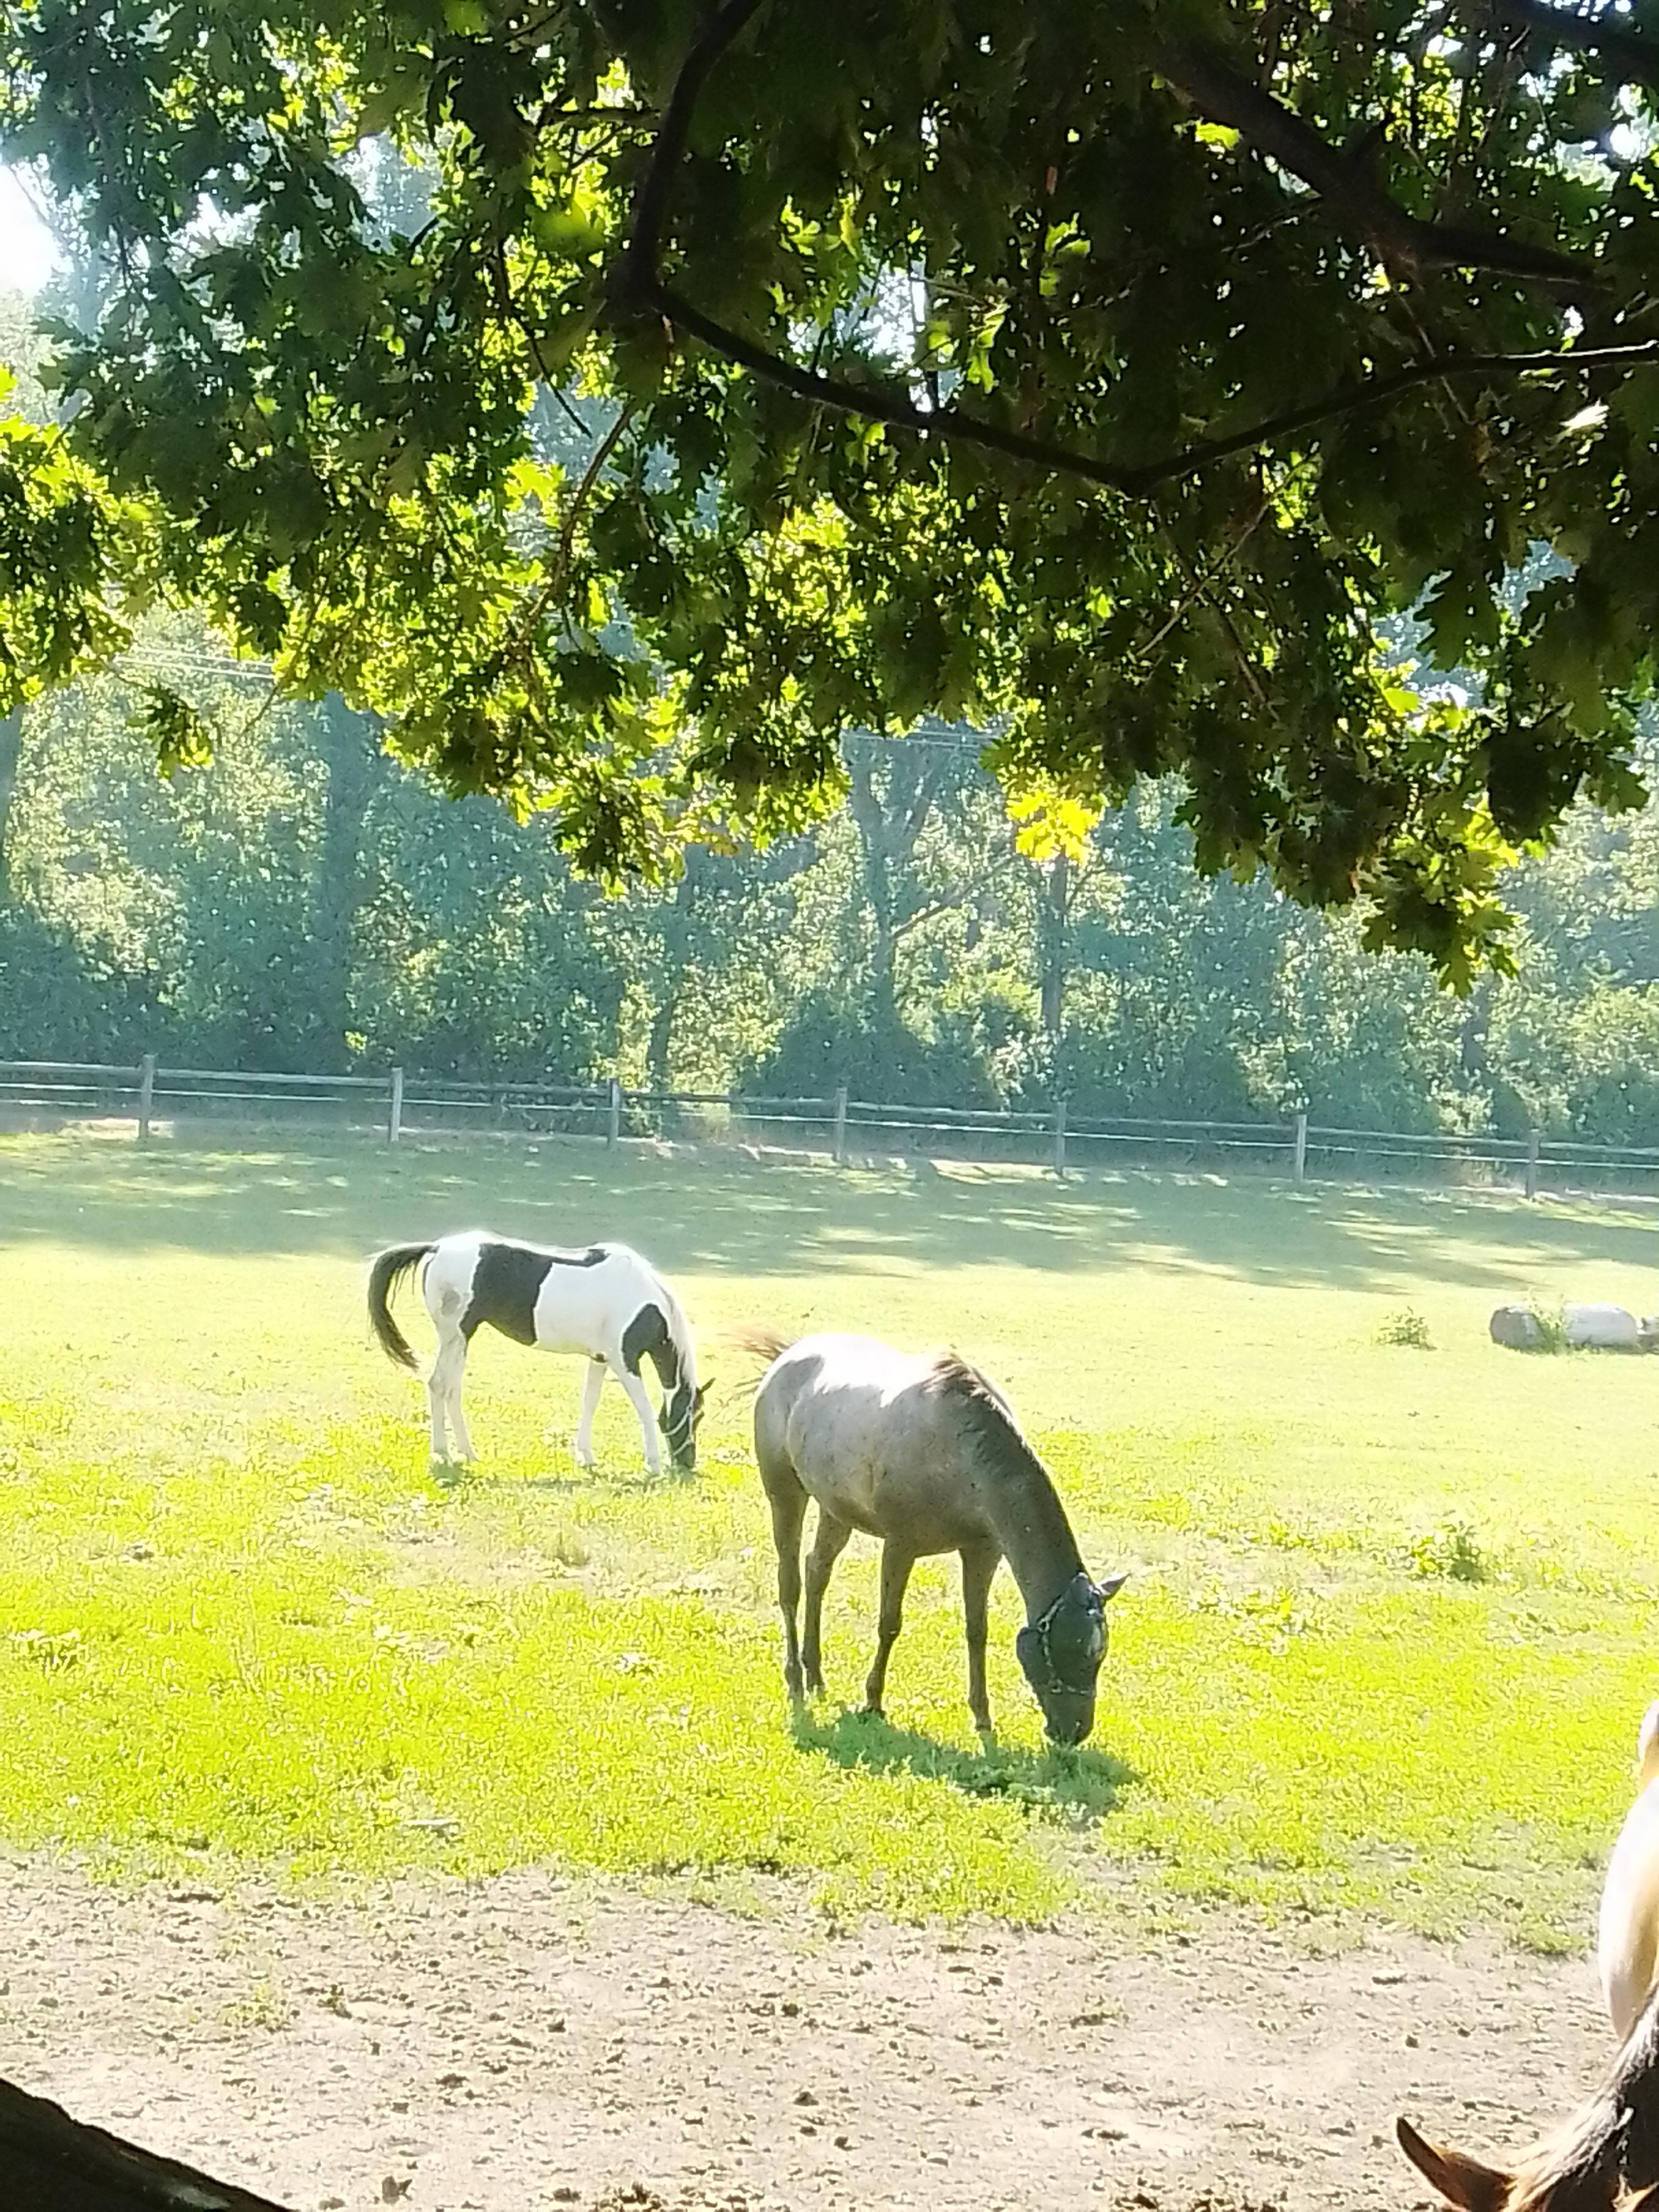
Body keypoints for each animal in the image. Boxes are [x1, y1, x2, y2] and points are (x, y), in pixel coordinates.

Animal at [367, 1231, 707, 1477]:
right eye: (694, 1416)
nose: (688, 1464)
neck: (641, 1299)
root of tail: (437, 1248)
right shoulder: (624, 1362)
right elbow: (645, 1409)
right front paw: (653, 1464)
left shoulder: (600, 1359)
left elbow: (589, 1403)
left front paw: (586, 1456)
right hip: (457, 1336)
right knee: (441, 1386)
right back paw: (448, 1452)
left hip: (458, 1339)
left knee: (448, 1389)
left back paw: (461, 1452)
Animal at [744, 1329, 1126, 1746]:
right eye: (1073, 1651)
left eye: (1100, 1655)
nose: (1075, 1731)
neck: (959, 1453)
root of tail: (787, 1356)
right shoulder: (900, 1545)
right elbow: (889, 1623)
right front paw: (873, 1701)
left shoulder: (982, 1551)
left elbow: (977, 1630)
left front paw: (982, 1715)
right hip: (784, 1494)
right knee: (791, 1584)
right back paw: (796, 1680)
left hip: (836, 1510)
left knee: (817, 1572)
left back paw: (815, 1675)